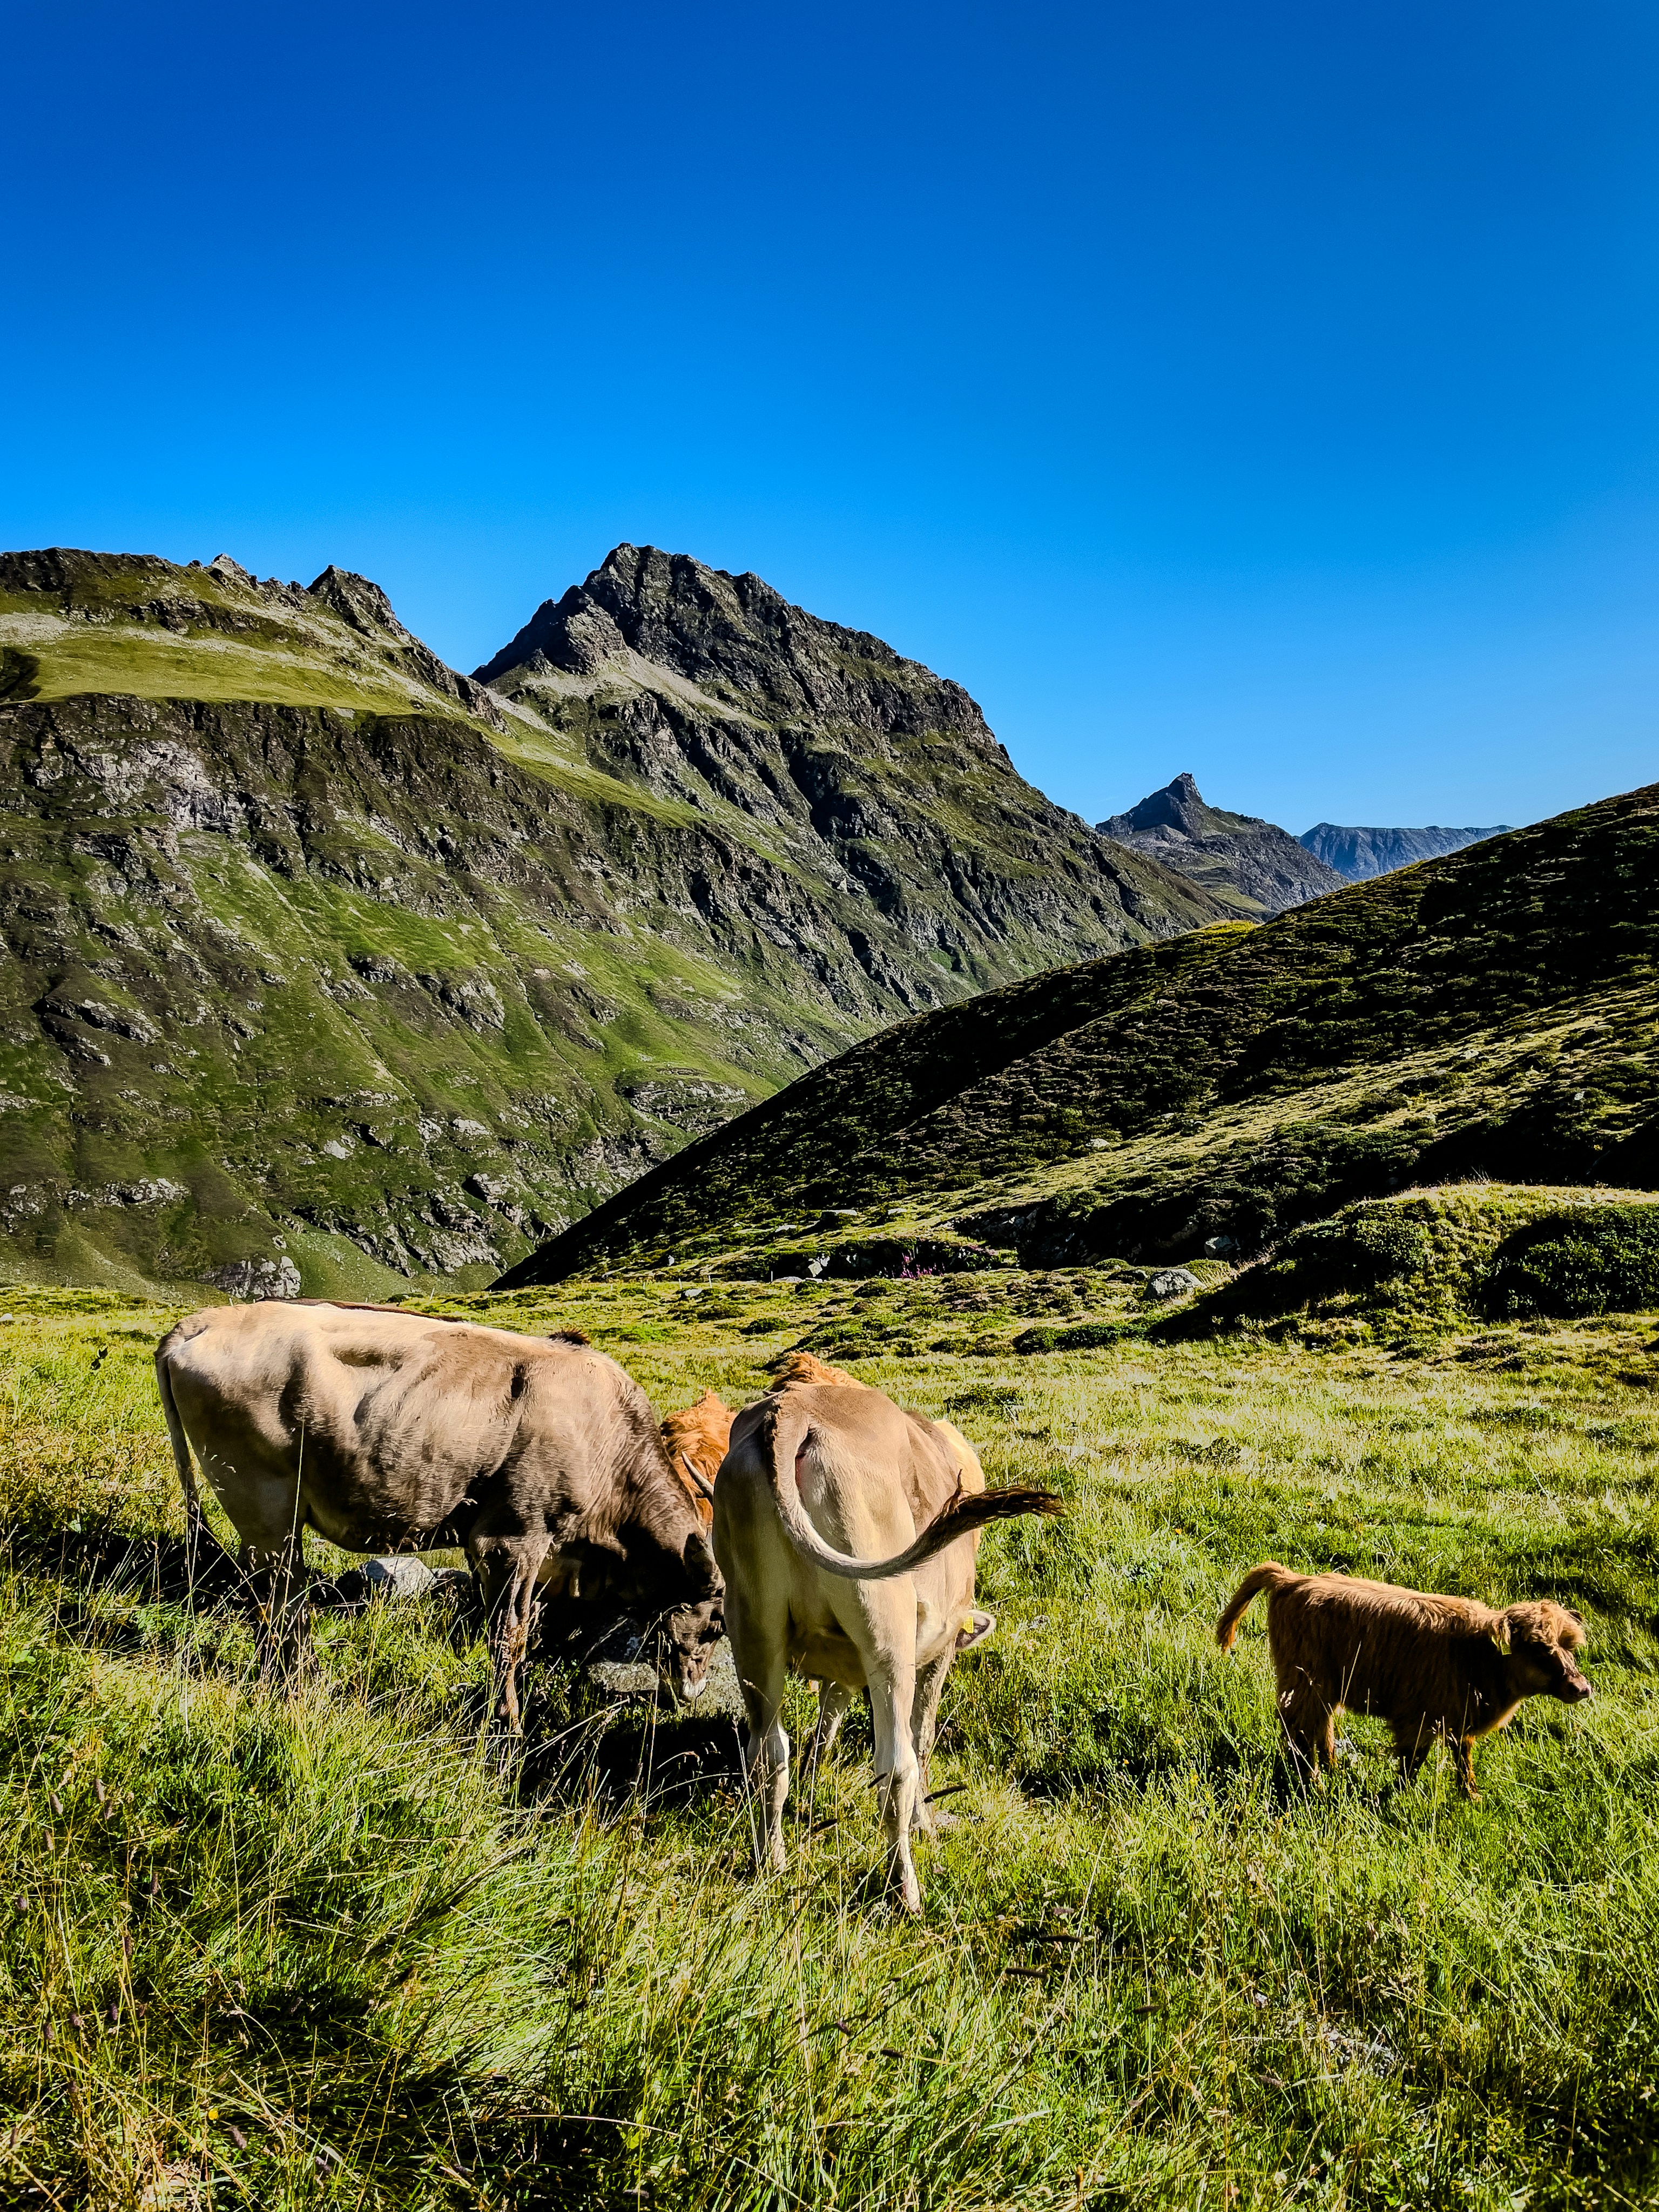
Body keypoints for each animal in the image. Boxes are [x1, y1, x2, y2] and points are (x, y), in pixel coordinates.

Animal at [155, 1301, 724, 1724]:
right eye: (718, 1627)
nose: (692, 1693)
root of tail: (205, 1320)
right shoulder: (511, 1539)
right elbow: (509, 1638)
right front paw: (508, 1727)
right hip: (263, 1505)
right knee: (279, 1604)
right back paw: (296, 1690)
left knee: (285, 1601)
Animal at [714, 1370, 1060, 1911]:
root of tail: (793, 1411)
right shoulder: (939, 1650)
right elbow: (922, 1736)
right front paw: (925, 1824)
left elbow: (828, 1719)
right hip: (887, 1632)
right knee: (895, 1767)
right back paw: (906, 1891)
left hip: (752, 1624)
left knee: (768, 1751)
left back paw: (772, 1863)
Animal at [1217, 1562, 1593, 1798]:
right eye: (1537, 1648)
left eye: (1570, 1646)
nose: (1582, 1688)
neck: (1477, 1660)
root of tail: (1292, 1580)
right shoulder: (1418, 1719)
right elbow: (1412, 1764)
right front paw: (1396, 1797)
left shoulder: (1458, 1720)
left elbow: (1464, 1758)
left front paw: (1471, 1795)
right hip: (1306, 1682)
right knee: (1300, 1732)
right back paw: (1316, 1783)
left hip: (1322, 1687)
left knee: (1321, 1730)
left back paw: (1333, 1772)